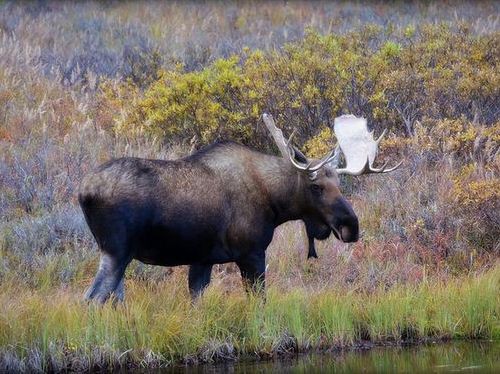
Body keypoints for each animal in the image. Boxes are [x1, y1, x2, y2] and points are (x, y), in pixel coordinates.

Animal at [78, 112, 400, 302]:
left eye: (339, 184)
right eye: (316, 186)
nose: (351, 226)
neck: (275, 203)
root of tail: (83, 192)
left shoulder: (202, 260)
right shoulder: (252, 254)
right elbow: (259, 303)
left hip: (118, 256)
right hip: (117, 251)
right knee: (92, 298)